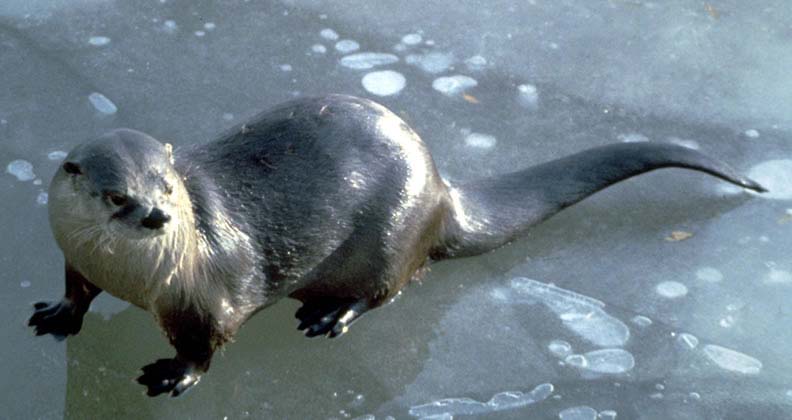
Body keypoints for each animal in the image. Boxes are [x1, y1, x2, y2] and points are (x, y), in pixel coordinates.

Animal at [29, 95, 765, 397]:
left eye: (169, 186)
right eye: (116, 196)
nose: (156, 216)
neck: (132, 277)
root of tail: (443, 192)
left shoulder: (210, 291)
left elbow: (209, 341)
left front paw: (173, 375)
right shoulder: (76, 255)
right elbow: (75, 288)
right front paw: (60, 314)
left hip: (390, 238)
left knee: (387, 289)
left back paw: (329, 314)